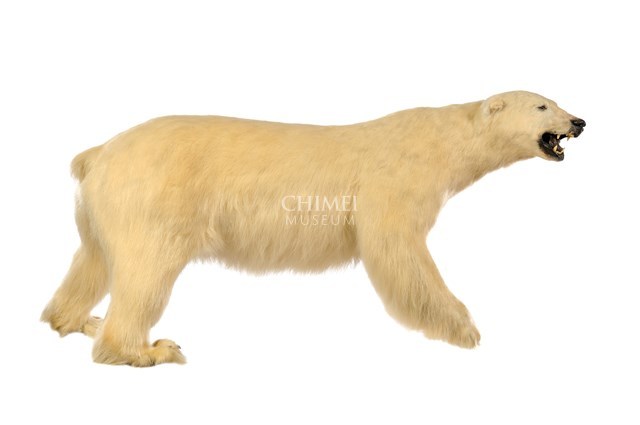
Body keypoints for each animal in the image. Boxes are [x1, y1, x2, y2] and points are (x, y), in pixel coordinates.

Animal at [41, 91, 586, 366]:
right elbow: (400, 253)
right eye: (542, 105)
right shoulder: (395, 183)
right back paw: (150, 348)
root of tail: (98, 153)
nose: (579, 121)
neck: (442, 141)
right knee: (147, 271)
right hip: (155, 198)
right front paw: (465, 330)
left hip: (101, 208)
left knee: (91, 261)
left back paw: (76, 320)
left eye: (555, 100)